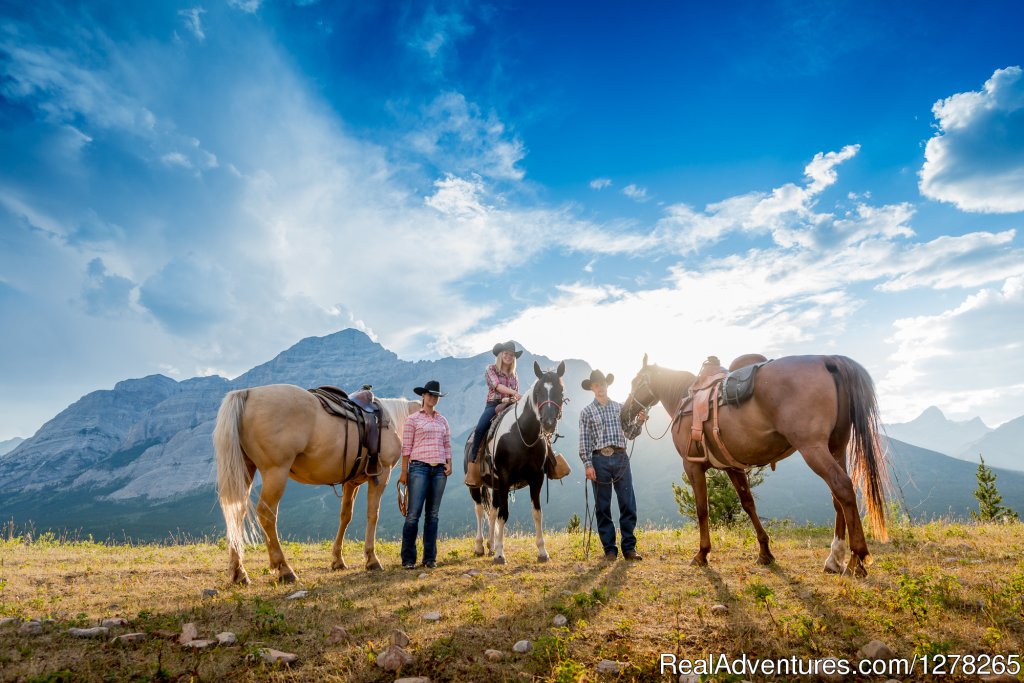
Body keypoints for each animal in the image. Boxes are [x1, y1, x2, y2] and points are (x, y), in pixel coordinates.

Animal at [214, 385, 417, 581]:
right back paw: (284, 569)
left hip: (245, 470)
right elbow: (373, 515)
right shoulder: (381, 475)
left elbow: (345, 516)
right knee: (266, 515)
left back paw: (239, 572)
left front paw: (337, 560)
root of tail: (248, 393)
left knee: (236, 513)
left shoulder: (351, 482)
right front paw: (372, 559)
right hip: (275, 472)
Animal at [466, 360, 569, 565]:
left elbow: (537, 513)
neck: (522, 435)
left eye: (560, 390)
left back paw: (490, 544)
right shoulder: (505, 479)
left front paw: (542, 552)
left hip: (495, 485)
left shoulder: (536, 479)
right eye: (538, 391)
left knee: (492, 511)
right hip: (476, 485)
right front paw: (500, 554)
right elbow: (503, 514)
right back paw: (480, 546)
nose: (548, 422)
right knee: (480, 510)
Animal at [618, 352, 892, 577]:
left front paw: (702, 554)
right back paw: (834, 559)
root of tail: (827, 360)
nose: (623, 416)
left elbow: (702, 509)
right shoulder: (733, 467)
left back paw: (856, 560)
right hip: (837, 447)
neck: (685, 399)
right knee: (838, 498)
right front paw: (765, 552)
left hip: (812, 448)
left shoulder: (692, 466)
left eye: (635, 382)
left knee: (842, 487)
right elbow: (748, 504)